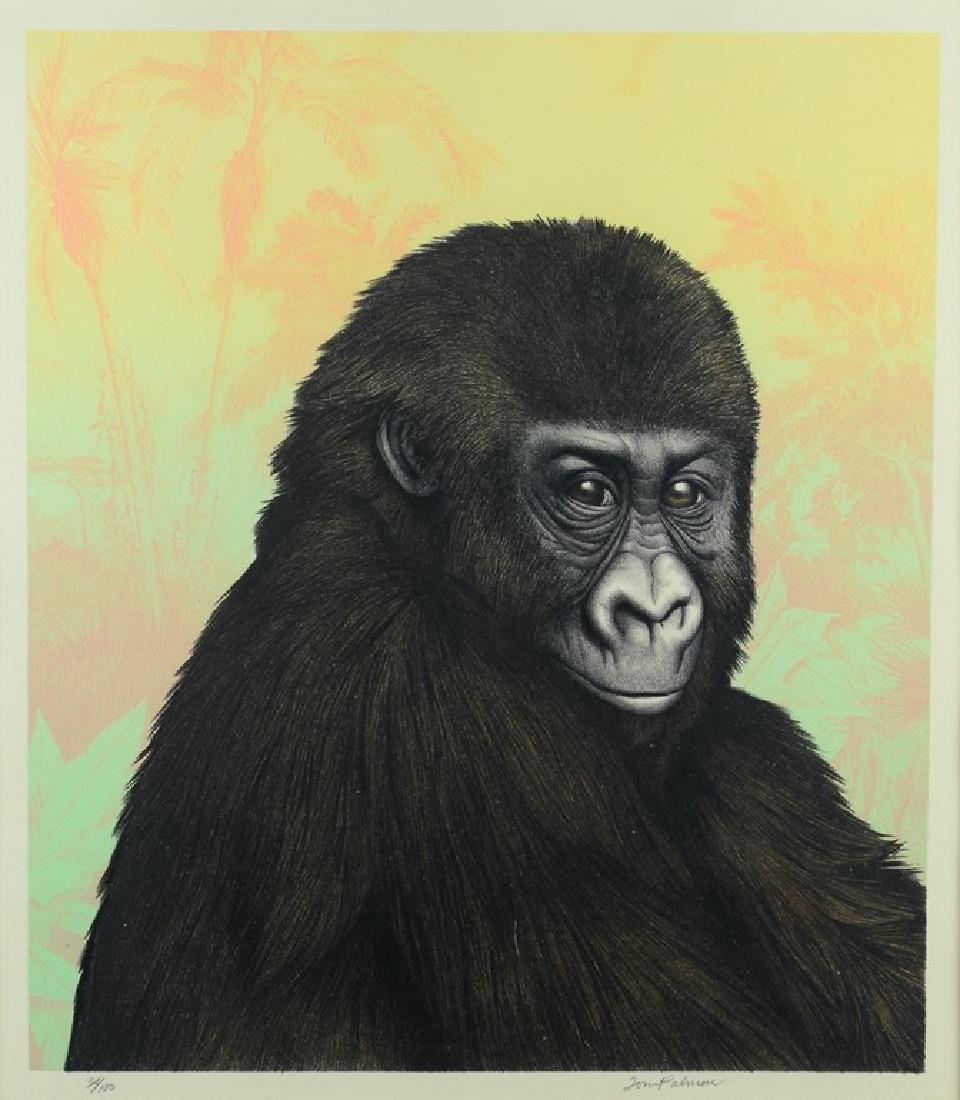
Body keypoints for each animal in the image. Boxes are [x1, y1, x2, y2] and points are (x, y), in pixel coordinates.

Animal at [66, 218, 925, 1072]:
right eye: (588, 491)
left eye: (686, 494)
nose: (659, 610)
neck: (403, 542)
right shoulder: (443, 704)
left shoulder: (749, 754)